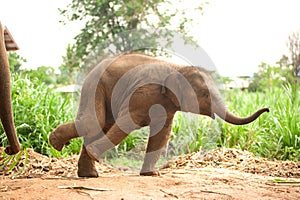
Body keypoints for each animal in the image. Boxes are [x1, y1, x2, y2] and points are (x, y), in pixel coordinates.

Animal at [49, 53, 270, 177]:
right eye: (206, 94)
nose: (267, 109)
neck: (177, 67)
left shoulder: (167, 104)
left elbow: (162, 134)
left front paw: (151, 174)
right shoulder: (142, 94)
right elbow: (126, 124)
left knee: (100, 125)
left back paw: (89, 175)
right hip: (94, 86)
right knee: (94, 123)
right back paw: (56, 144)